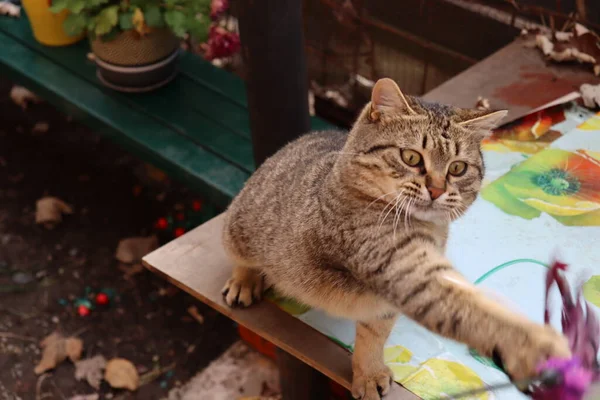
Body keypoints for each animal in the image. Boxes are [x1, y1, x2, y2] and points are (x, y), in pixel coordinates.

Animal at [223, 78, 568, 400]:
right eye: (411, 157)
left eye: (457, 168)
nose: (437, 190)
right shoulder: (399, 264)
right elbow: (473, 308)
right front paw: (535, 344)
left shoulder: (385, 304)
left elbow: (372, 338)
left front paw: (369, 373)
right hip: (240, 227)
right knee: (237, 254)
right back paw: (244, 281)